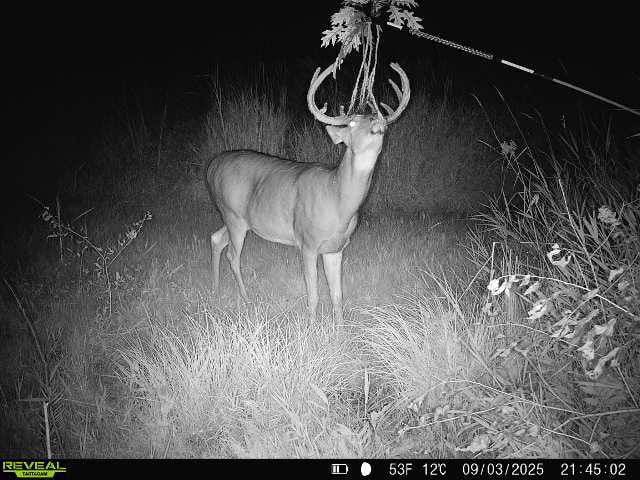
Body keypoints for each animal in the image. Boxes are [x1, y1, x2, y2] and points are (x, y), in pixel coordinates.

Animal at [206, 62, 410, 324]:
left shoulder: (336, 248)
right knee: (232, 254)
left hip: (234, 217)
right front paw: (312, 327)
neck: (337, 201)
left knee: (216, 238)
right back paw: (245, 297)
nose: (377, 120)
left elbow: (337, 294)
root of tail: (212, 166)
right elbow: (313, 294)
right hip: (234, 216)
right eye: (351, 124)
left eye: (376, 115)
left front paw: (340, 329)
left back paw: (215, 288)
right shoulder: (307, 242)